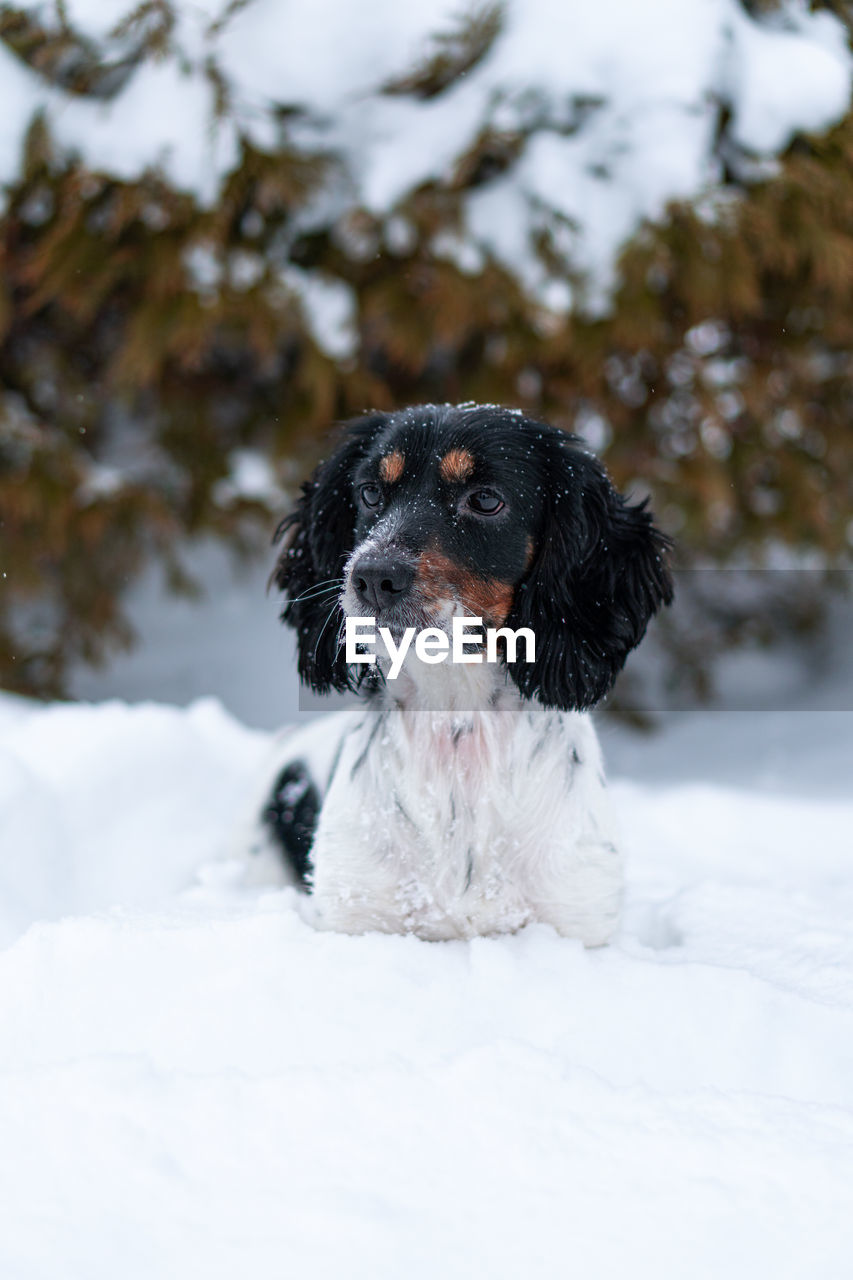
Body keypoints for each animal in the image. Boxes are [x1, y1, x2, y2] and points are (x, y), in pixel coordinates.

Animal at [251, 404, 671, 947]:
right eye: (370, 493)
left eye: (486, 500)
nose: (372, 576)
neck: (455, 722)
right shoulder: (356, 915)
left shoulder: (579, 918)